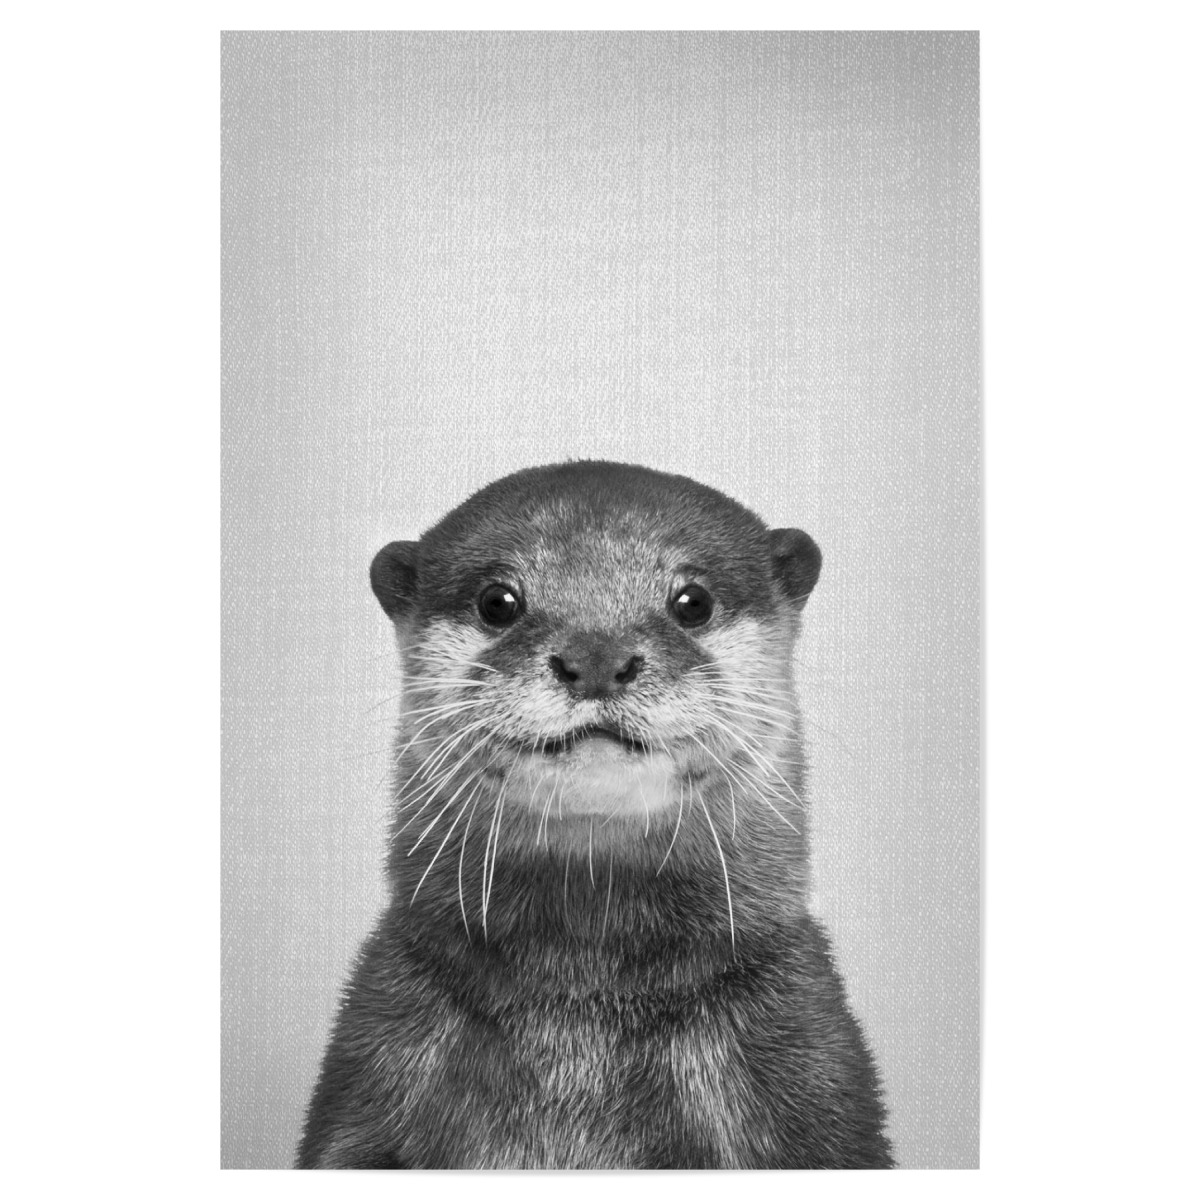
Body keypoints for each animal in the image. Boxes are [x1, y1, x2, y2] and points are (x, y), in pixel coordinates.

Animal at [298, 461, 892, 1170]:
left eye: (693, 601)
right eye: (498, 601)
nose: (598, 658)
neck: (581, 1010)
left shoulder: (810, 1066)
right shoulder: (375, 1059)